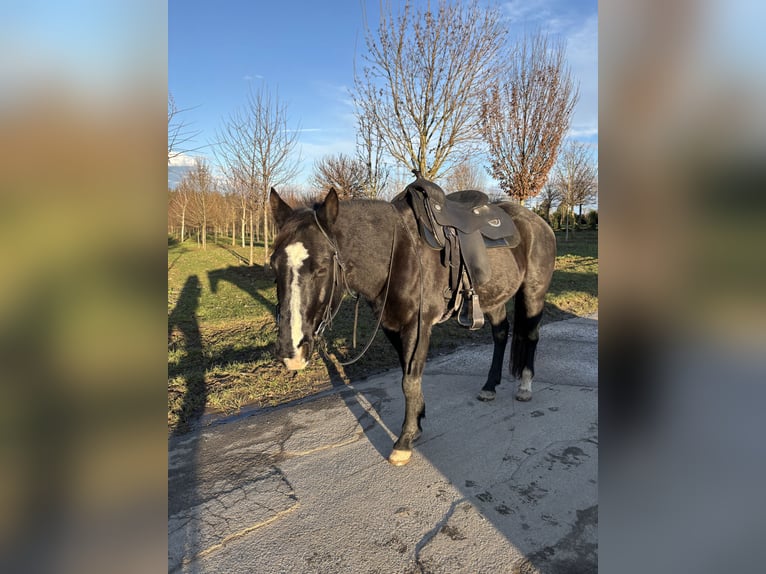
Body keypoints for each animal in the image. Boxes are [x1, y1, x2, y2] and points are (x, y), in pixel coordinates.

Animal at [270, 180, 560, 468]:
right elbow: (408, 375)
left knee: (531, 335)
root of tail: (539, 223)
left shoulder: (418, 326)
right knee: (501, 334)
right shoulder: (392, 326)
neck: (399, 252)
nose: (291, 352)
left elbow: (409, 381)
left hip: (533, 293)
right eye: (274, 265)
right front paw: (418, 421)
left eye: (321, 268)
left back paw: (525, 386)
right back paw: (489, 387)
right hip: (493, 298)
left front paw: (405, 440)